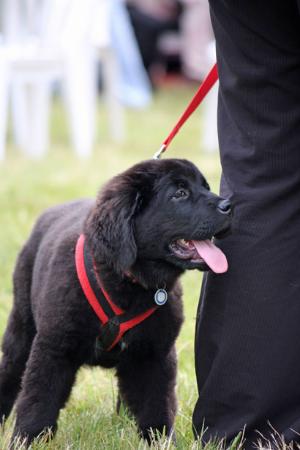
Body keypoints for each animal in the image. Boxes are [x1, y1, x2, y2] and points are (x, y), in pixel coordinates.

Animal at [0, 159, 231, 446]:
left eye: (206, 187)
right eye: (179, 193)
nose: (229, 205)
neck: (128, 281)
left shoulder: (154, 354)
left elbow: (156, 404)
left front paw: (160, 441)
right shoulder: (53, 348)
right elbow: (38, 401)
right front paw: (26, 440)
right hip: (22, 327)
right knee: (10, 373)